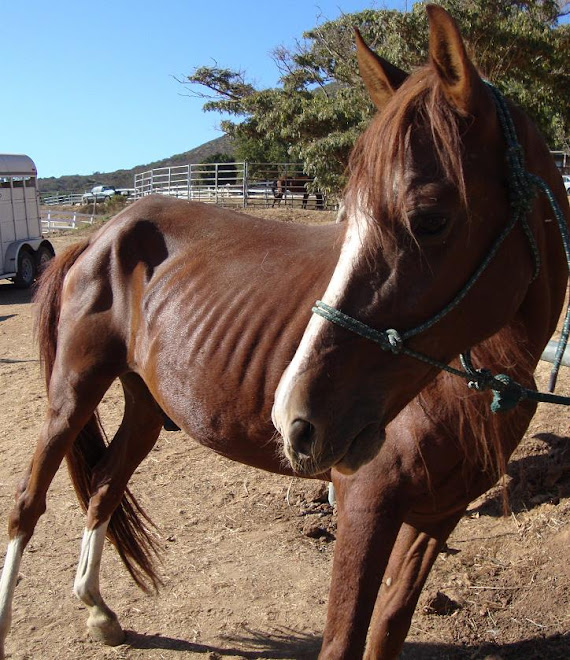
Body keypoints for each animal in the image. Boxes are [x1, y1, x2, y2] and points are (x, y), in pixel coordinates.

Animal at [1, 6, 568, 660]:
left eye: (430, 220)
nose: (294, 419)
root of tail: (104, 232)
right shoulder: (366, 508)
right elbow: (343, 639)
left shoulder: (435, 517)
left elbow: (388, 628)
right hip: (72, 395)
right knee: (28, 503)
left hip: (147, 406)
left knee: (103, 488)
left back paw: (99, 612)